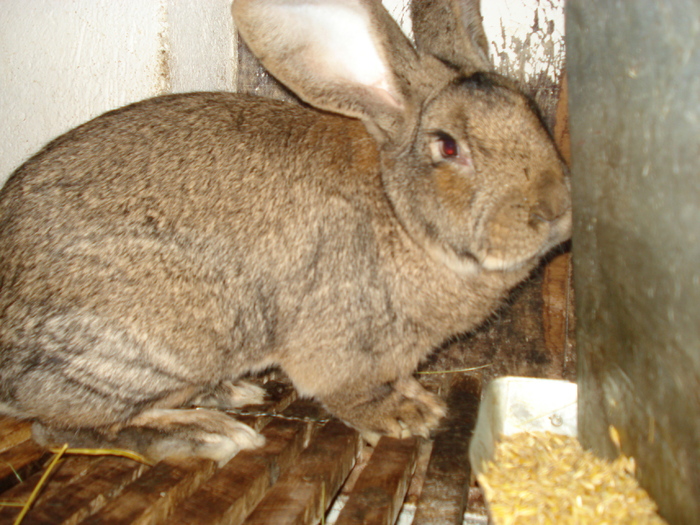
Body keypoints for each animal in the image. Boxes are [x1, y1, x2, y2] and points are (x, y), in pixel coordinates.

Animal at [0, 0, 572, 464]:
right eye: (449, 146)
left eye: (532, 110)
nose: (556, 208)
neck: (400, 212)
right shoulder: (342, 346)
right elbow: (351, 393)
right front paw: (406, 417)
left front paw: (420, 398)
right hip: (160, 342)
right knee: (59, 427)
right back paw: (207, 434)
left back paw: (231, 395)